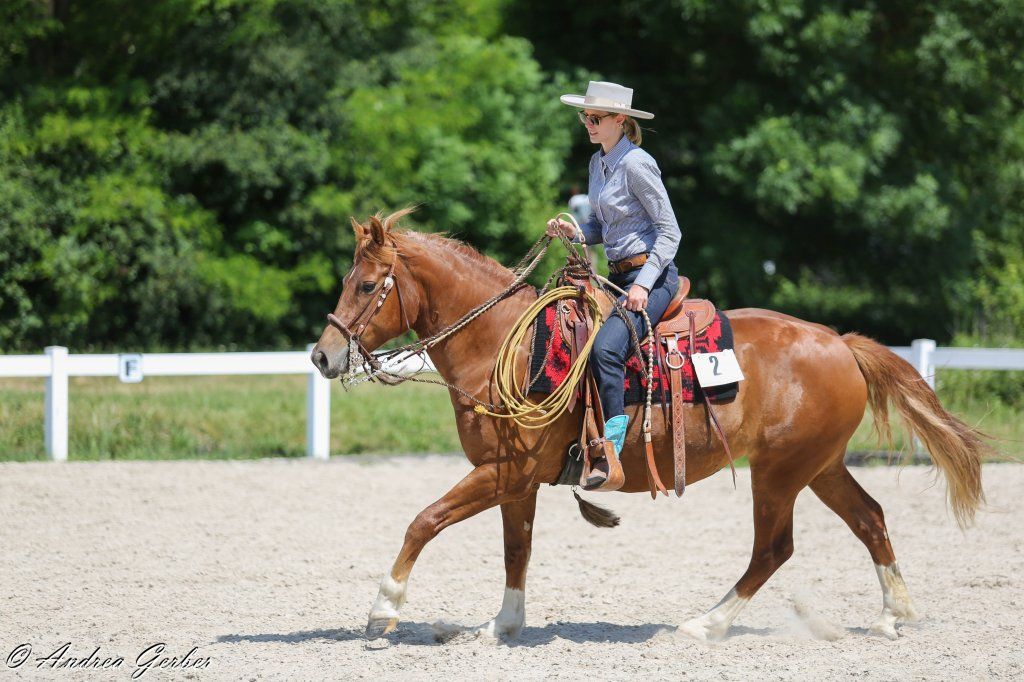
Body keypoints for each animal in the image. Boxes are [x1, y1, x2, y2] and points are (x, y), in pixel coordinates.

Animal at [311, 208, 988, 642]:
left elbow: (423, 521)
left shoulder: (503, 471)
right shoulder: (516, 480)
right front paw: (501, 625)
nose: (322, 355)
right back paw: (893, 615)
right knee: (869, 519)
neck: (506, 341)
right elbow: (515, 549)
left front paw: (382, 610)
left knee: (773, 548)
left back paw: (705, 624)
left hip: (779, 473)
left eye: (367, 285)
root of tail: (840, 343)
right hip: (819, 466)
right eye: (346, 280)